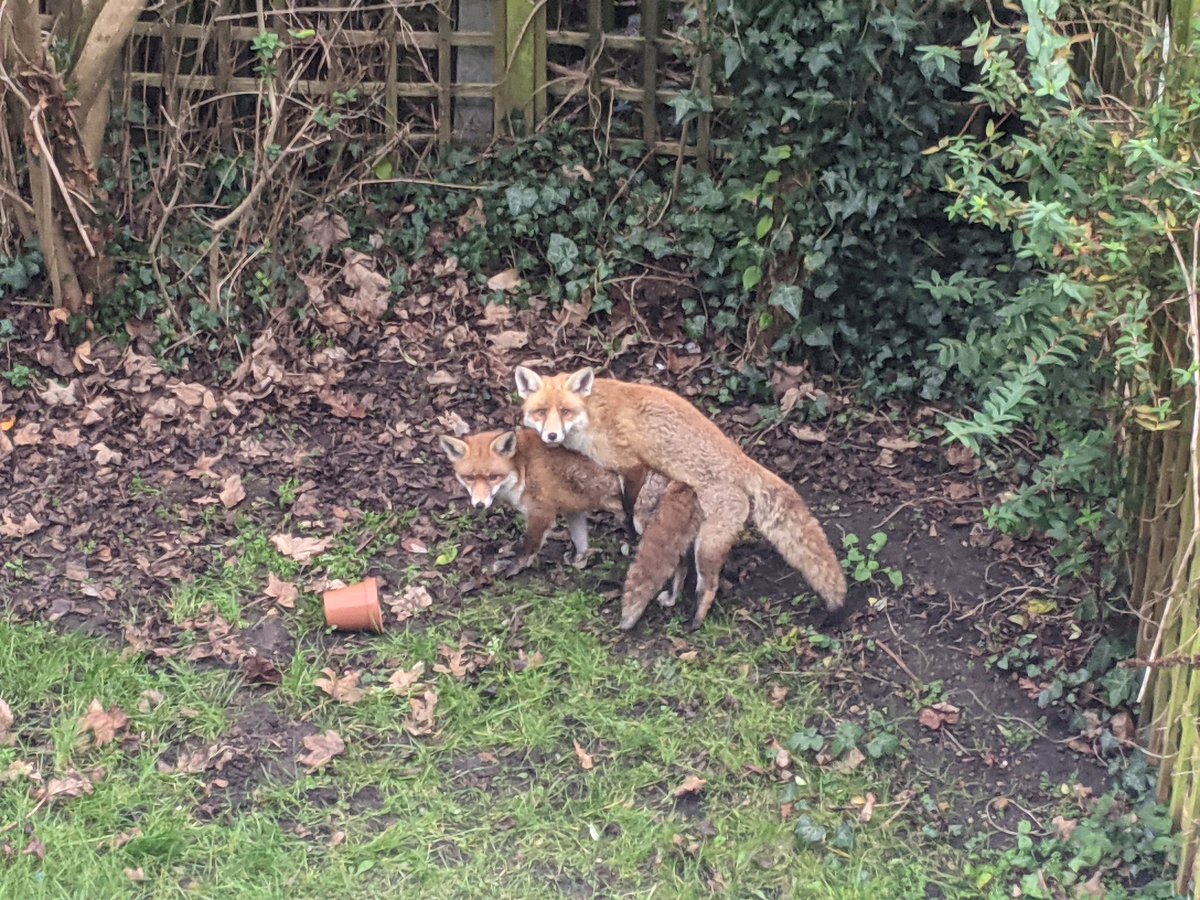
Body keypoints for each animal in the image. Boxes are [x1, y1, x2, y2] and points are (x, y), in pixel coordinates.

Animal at [438, 427, 697, 608]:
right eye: (470, 478)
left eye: (493, 476)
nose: (479, 504)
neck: (523, 469)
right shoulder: (573, 509)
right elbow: (580, 539)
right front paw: (578, 560)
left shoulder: (541, 514)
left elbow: (527, 549)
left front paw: (513, 568)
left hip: (643, 524)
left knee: (679, 564)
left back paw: (673, 597)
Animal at [513, 365, 848, 628]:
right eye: (541, 412)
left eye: (565, 411)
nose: (552, 435)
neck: (593, 416)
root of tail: (741, 460)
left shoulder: (631, 464)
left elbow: (628, 505)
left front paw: (627, 529)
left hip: (708, 545)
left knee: (709, 585)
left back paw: (695, 621)